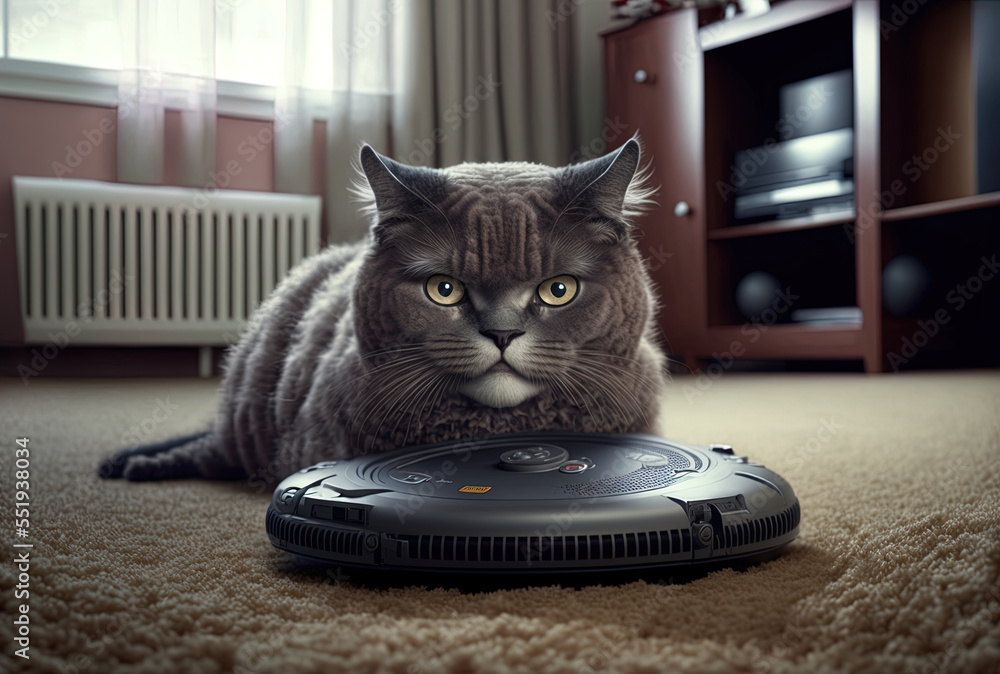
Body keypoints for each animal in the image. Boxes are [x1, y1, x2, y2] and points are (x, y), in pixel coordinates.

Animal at [97, 139, 668, 486]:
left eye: (558, 289)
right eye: (444, 290)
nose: (502, 333)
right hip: (247, 420)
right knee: (211, 451)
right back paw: (135, 464)